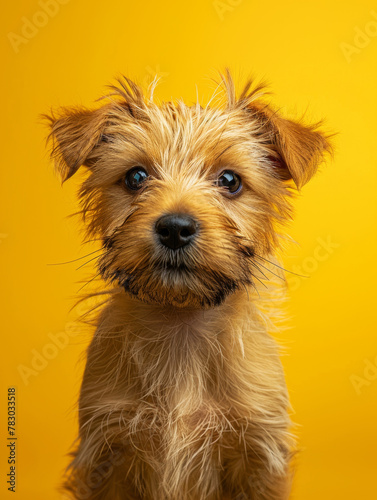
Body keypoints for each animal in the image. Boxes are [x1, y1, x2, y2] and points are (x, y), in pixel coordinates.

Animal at [45, 71, 330, 500]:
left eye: (230, 181)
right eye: (135, 177)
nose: (175, 228)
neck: (182, 324)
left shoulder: (258, 454)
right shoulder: (106, 453)